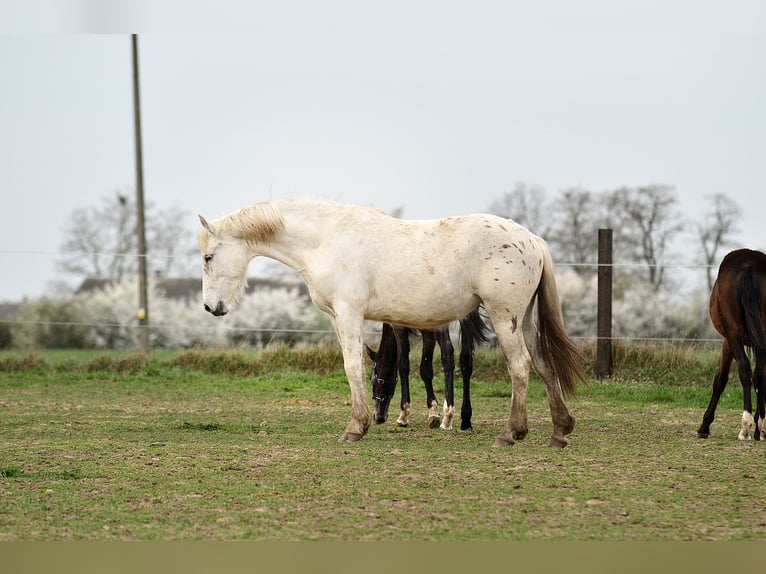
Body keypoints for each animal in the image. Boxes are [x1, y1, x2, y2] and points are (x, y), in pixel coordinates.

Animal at [196, 200, 584, 448]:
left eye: (208, 257)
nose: (210, 307)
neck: (326, 239)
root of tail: (532, 240)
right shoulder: (342, 318)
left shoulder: (349, 315)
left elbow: (352, 367)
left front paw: (356, 427)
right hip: (526, 321)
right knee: (544, 366)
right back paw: (559, 431)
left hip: (506, 319)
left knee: (520, 368)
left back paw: (511, 433)